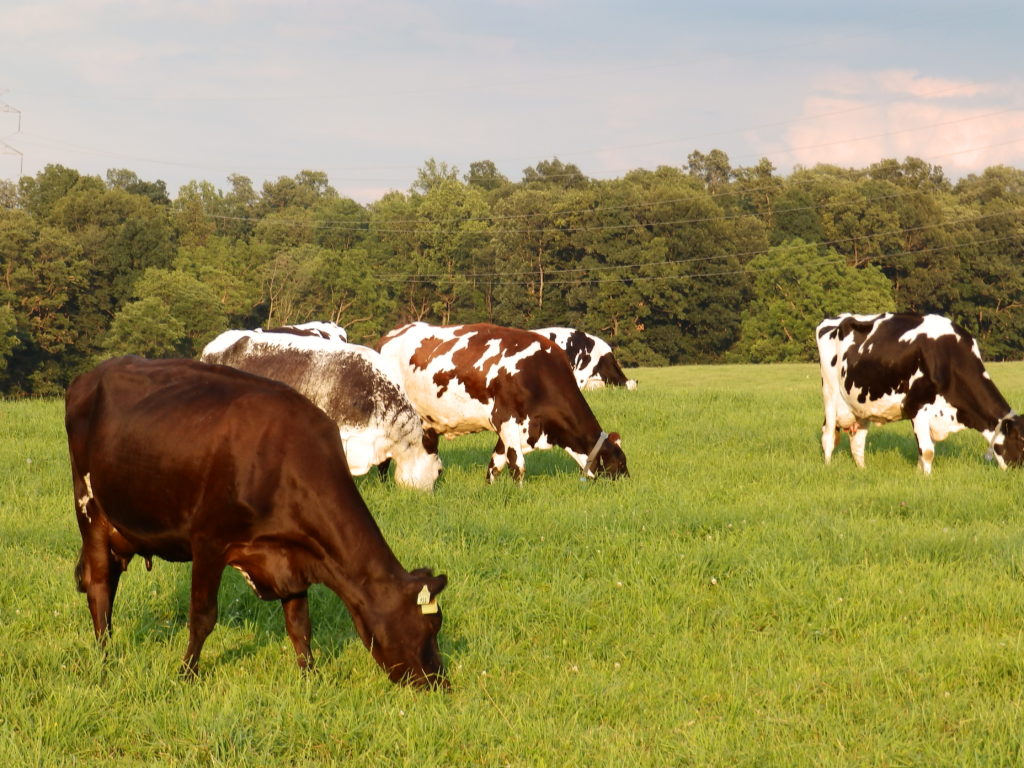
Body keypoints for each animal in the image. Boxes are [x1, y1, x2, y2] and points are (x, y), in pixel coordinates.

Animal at [65, 358, 448, 688]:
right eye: (429, 626)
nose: (438, 682)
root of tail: (89, 375)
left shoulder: (293, 555)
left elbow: (299, 623)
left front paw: (310, 675)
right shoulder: (208, 541)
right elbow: (202, 617)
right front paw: (186, 673)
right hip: (89, 510)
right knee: (99, 586)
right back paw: (104, 657)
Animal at [376, 321, 626, 483]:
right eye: (619, 463)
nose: (627, 481)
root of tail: (386, 338)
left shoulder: (512, 428)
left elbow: (495, 463)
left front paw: (491, 488)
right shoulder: (506, 419)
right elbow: (517, 465)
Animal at [819, 313, 1024, 475]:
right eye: (1020, 439)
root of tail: (837, 318)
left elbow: (924, 450)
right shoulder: (916, 406)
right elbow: (927, 451)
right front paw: (926, 479)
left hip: (861, 406)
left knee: (857, 443)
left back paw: (863, 470)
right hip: (830, 393)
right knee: (828, 436)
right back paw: (828, 467)